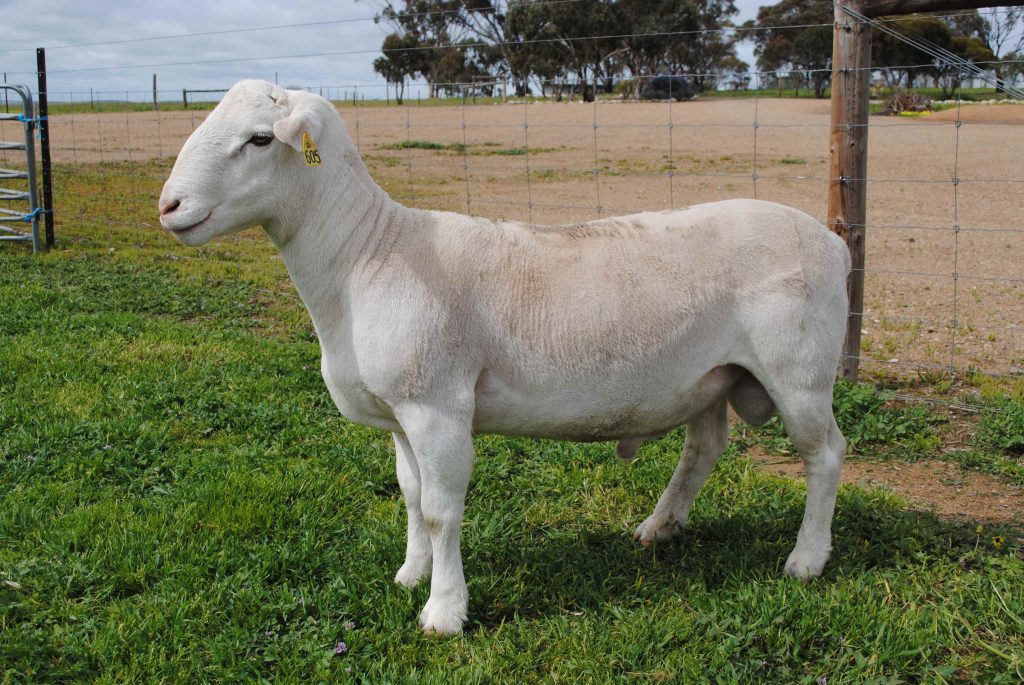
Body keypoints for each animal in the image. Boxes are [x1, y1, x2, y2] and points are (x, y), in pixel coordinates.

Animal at [159, 80, 851, 635]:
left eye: (258, 138)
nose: (168, 206)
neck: (365, 255)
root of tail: (835, 243)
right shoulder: (400, 414)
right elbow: (410, 495)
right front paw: (410, 575)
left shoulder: (437, 406)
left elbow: (440, 511)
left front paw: (444, 612)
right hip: (710, 375)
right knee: (704, 447)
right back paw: (660, 527)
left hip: (799, 370)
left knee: (824, 455)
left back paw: (806, 559)